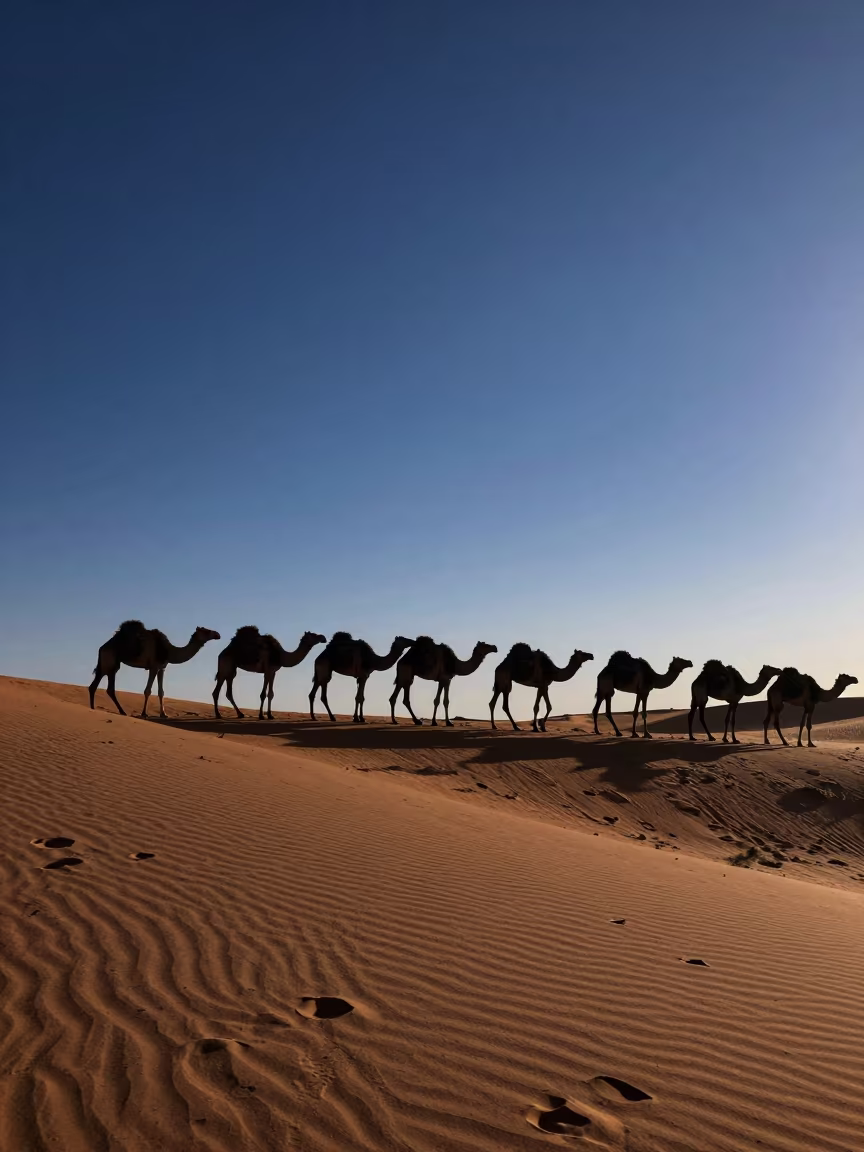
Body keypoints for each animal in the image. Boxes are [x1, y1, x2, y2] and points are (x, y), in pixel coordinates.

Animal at [89, 620, 221, 718]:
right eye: (206, 631)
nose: (218, 634)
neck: (168, 651)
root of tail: (102, 647)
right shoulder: (153, 666)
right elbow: (147, 690)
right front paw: (144, 713)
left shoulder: (162, 668)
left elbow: (161, 692)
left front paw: (164, 714)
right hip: (111, 662)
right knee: (108, 687)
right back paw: (121, 711)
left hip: (107, 664)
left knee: (96, 685)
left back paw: (95, 708)